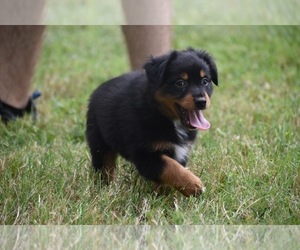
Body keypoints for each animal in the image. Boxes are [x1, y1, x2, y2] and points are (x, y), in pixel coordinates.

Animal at [86, 47, 218, 196]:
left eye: (205, 81)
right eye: (180, 83)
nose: (202, 101)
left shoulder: (181, 151)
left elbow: (169, 173)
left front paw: (163, 195)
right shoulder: (144, 153)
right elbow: (171, 167)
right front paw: (194, 185)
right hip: (99, 141)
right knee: (104, 166)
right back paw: (105, 188)